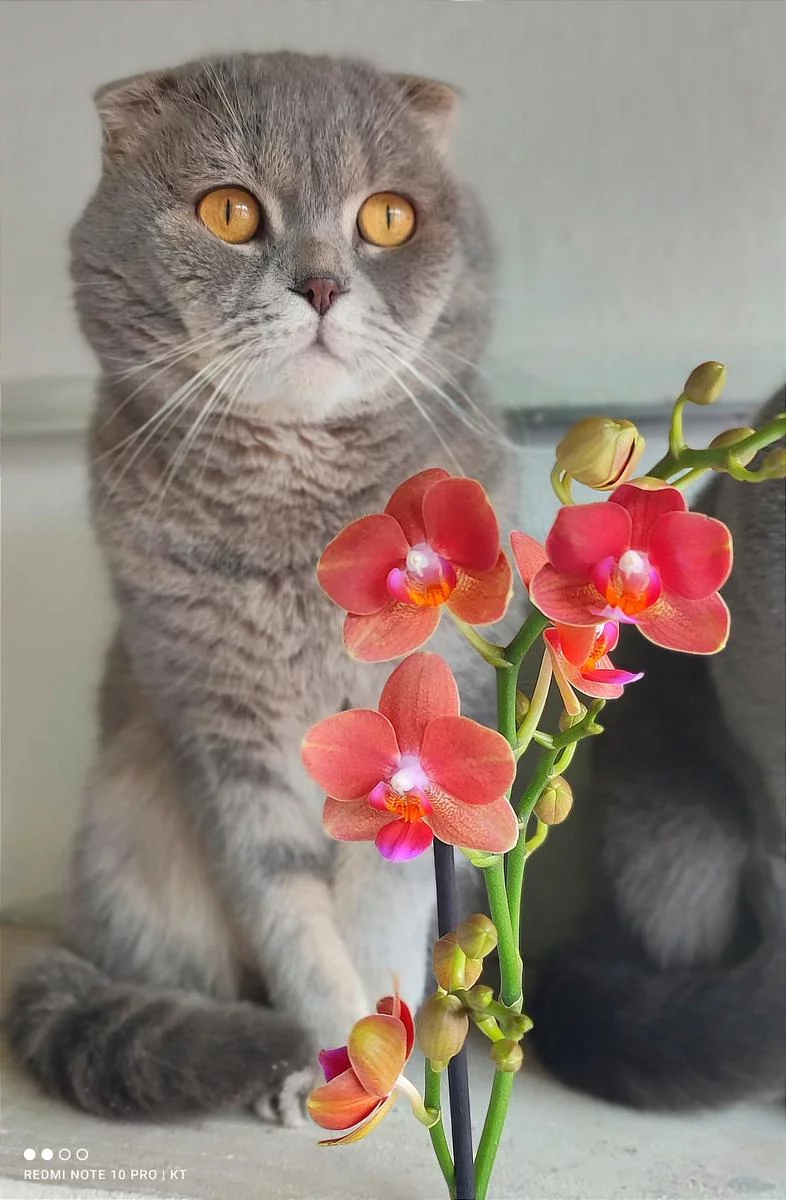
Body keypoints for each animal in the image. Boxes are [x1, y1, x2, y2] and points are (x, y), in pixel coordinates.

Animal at [7, 52, 515, 1123]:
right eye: (231, 211)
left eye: (390, 217)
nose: (321, 284)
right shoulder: (221, 740)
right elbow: (292, 922)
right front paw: (331, 1060)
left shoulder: (431, 730)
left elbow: (379, 918)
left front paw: (387, 1057)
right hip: (131, 843)